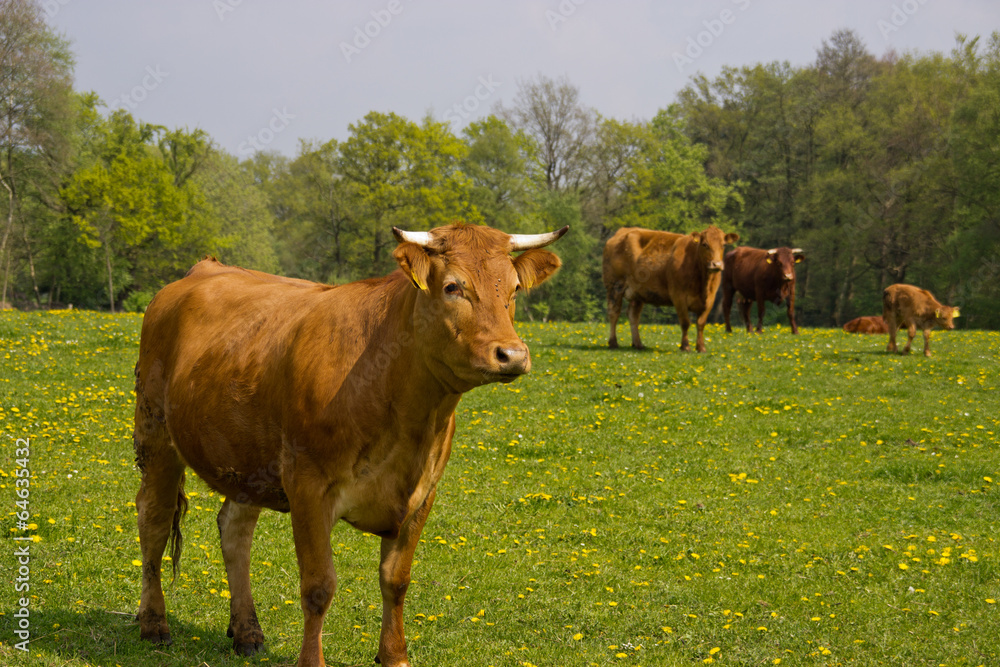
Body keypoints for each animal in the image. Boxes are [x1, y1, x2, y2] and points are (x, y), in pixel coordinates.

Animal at [132, 223, 566, 667]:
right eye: (452, 287)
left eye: (514, 289)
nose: (512, 354)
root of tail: (204, 268)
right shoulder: (307, 486)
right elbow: (318, 586)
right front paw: (312, 661)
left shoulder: (423, 494)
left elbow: (396, 580)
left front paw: (394, 656)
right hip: (155, 432)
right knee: (153, 519)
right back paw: (154, 624)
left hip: (247, 457)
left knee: (235, 529)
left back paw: (248, 632)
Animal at [603, 225, 739, 352]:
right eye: (704, 244)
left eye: (723, 245)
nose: (716, 264)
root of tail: (624, 230)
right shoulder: (678, 296)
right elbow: (685, 322)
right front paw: (685, 347)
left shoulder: (710, 299)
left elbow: (701, 324)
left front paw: (701, 348)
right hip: (614, 286)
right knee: (614, 312)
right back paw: (613, 343)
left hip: (638, 292)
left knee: (633, 315)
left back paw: (638, 344)